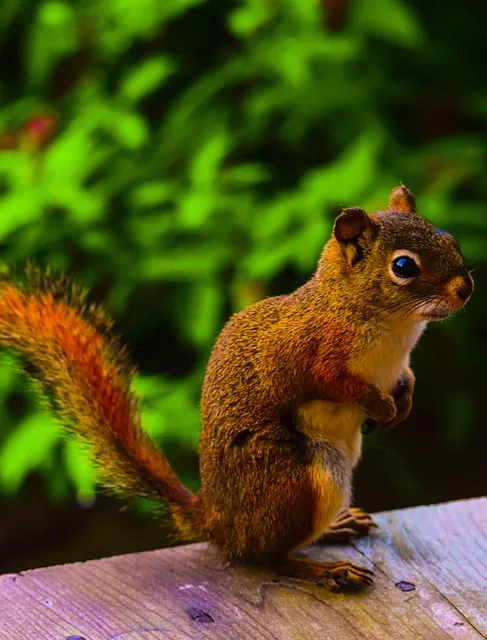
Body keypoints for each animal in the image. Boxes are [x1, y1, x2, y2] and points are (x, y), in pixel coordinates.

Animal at [0, 185, 473, 592]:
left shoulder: (399, 363)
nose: (466, 288)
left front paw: (403, 403)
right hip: (296, 481)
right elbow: (334, 382)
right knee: (266, 557)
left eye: (450, 239)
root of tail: (218, 521)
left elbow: (407, 378)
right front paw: (380, 404)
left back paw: (337, 528)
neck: (394, 328)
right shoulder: (309, 352)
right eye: (403, 267)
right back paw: (326, 571)